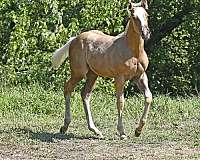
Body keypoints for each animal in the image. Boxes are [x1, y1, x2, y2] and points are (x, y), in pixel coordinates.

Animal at [51, 0, 152, 139]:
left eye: (147, 16)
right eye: (133, 17)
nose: (145, 33)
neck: (133, 52)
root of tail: (74, 39)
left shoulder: (140, 76)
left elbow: (148, 97)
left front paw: (138, 130)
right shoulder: (119, 78)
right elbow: (120, 102)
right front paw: (122, 132)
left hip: (92, 75)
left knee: (85, 94)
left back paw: (95, 130)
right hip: (78, 73)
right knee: (68, 88)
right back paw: (65, 126)